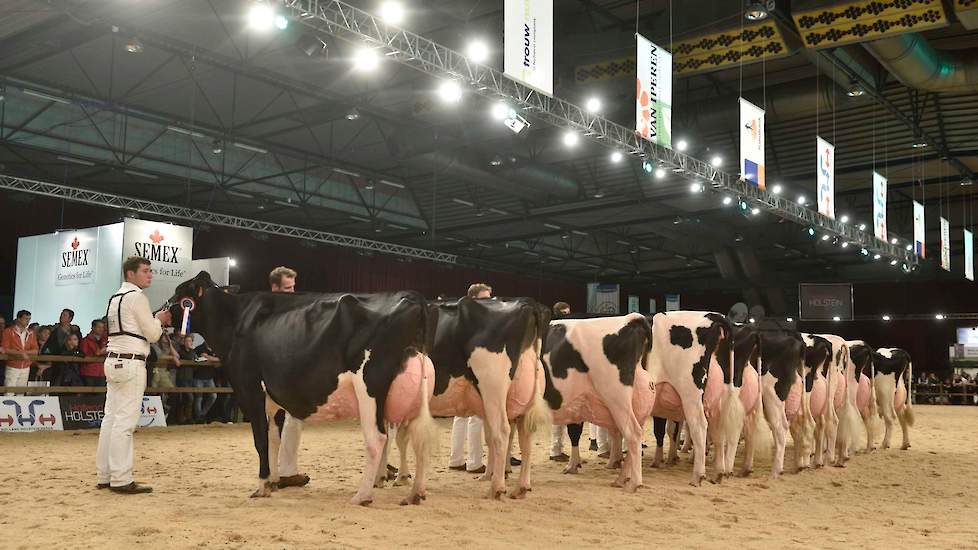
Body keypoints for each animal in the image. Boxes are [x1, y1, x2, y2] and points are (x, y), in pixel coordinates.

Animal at [168, 274, 434, 506]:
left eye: (180, 292)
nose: (160, 311)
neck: (235, 320)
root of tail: (412, 297)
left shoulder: (250, 389)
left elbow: (261, 440)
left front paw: (262, 485)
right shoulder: (273, 398)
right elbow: (274, 438)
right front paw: (274, 481)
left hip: (369, 389)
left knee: (378, 439)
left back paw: (362, 495)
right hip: (416, 397)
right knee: (418, 439)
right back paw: (415, 493)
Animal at [396, 300, 548, 502]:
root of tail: (527, 305)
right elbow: (401, 438)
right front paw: (400, 476)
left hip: (492, 388)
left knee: (501, 432)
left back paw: (496, 488)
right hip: (523, 401)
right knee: (525, 438)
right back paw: (520, 487)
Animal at [644, 312, 736, 486]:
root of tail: (713, 316)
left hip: (690, 394)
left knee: (699, 426)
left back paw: (698, 476)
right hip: (719, 399)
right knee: (718, 429)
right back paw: (718, 473)